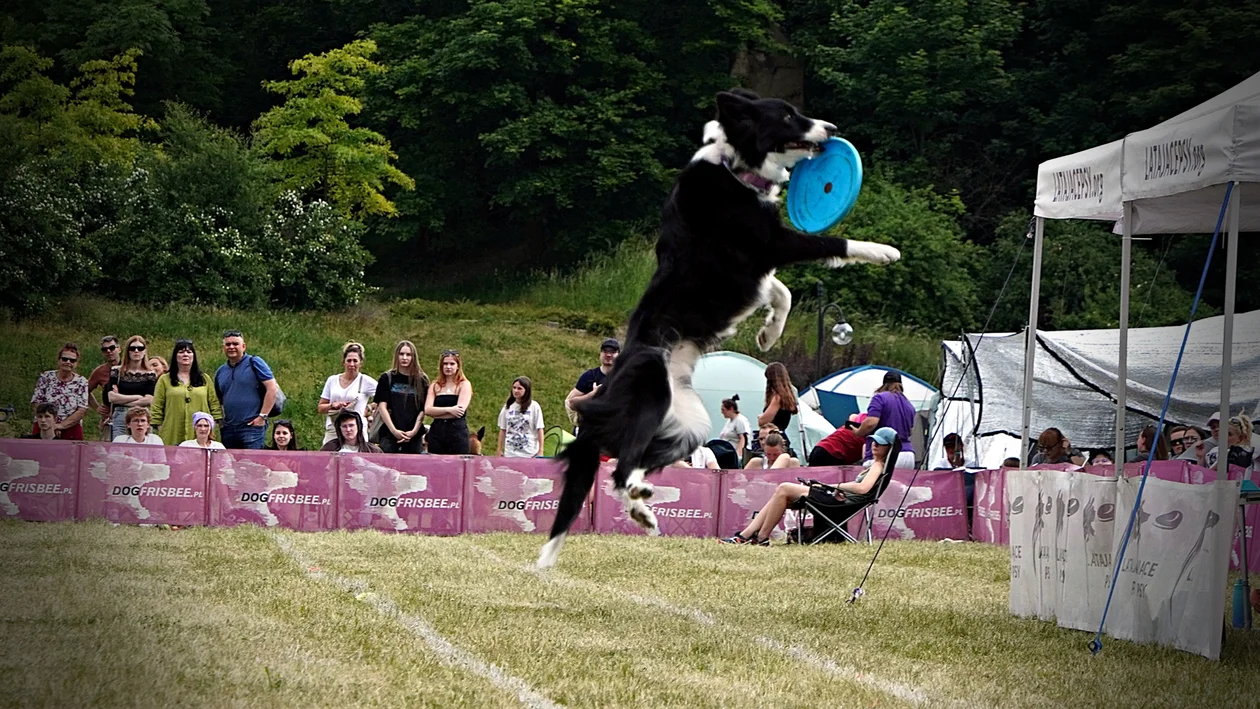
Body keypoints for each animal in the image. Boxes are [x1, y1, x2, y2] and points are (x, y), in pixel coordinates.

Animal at [536, 88, 902, 569]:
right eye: (788, 116)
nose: (833, 130)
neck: (735, 168)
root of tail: (607, 383)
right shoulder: (773, 242)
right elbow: (831, 244)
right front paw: (885, 251)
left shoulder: (754, 267)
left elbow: (781, 292)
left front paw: (769, 333)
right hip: (651, 400)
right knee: (621, 466)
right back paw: (640, 506)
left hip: (688, 425)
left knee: (631, 465)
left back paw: (643, 509)